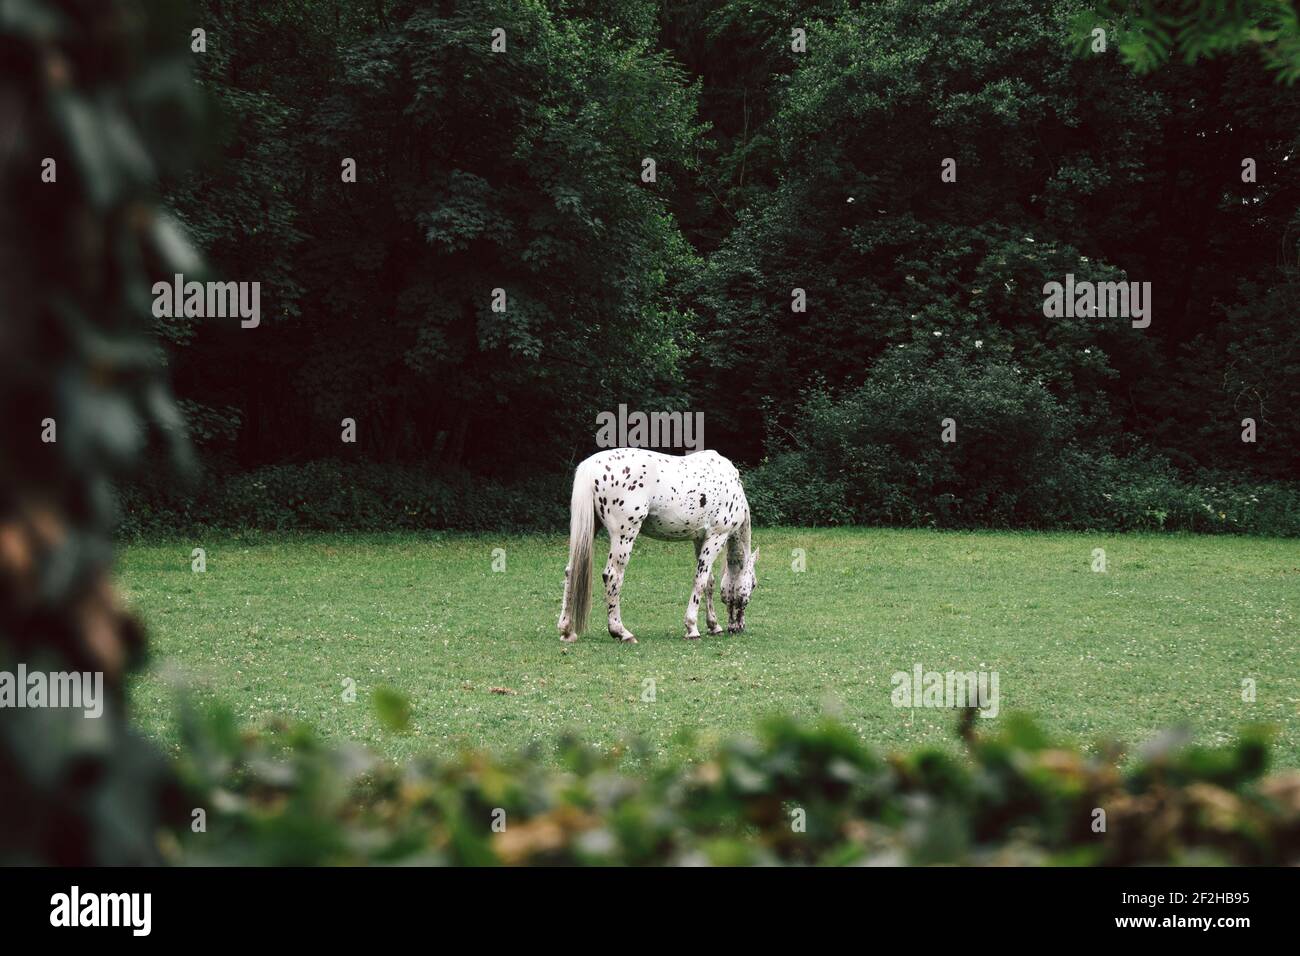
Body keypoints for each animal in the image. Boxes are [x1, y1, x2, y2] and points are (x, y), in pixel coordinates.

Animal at [556, 447, 759, 642]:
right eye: (754, 584)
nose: (738, 628)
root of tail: (591, 466)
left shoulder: (700, 539)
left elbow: (709, 581)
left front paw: (714, 626)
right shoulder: (717, 536)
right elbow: (700, 581)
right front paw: (692, 627)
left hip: (590, 530)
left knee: (571, 571)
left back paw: (567, 631)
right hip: (624, 535)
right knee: (613, 576)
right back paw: (621, 632)